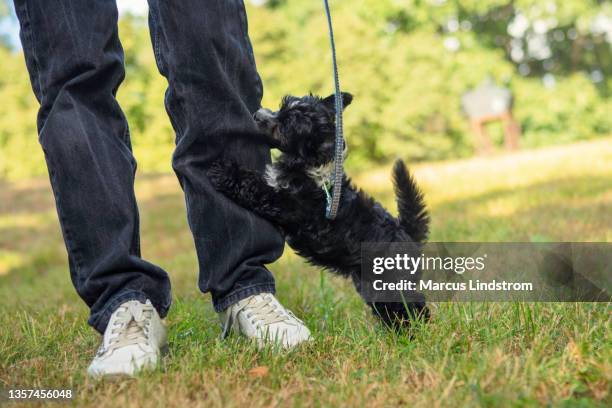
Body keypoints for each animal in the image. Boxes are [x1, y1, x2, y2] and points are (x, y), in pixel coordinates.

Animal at [208, 92, 428, 328]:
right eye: (281, 108)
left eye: (287, 124)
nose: (258, 114)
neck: (308, 167)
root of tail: (405, 233)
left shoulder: (286, 204)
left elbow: (256, 186)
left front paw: (224, 171)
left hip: (390, 282)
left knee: (410, 306)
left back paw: (415, 330)